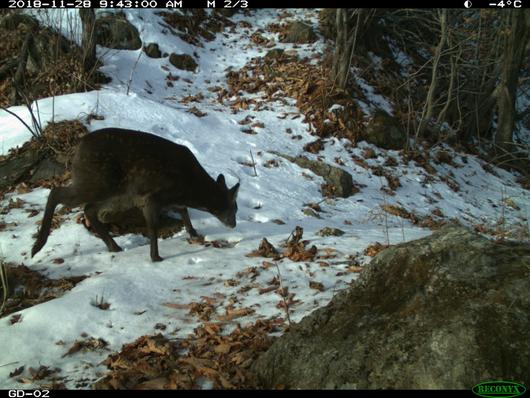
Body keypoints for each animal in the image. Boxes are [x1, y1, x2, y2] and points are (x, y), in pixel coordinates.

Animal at [31, 129, 239, 262]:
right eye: (234, 208)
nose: (233, 224)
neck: (189, 188)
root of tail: (78, 147)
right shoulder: (152, 197)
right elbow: (153, 226)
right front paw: (155, 257)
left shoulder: (169, 199)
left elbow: (183, 210)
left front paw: (193, 232)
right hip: (96, 181)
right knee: (56, 193)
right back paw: (37, 246)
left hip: (115, 193)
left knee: (89, 209)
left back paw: (113, 246)